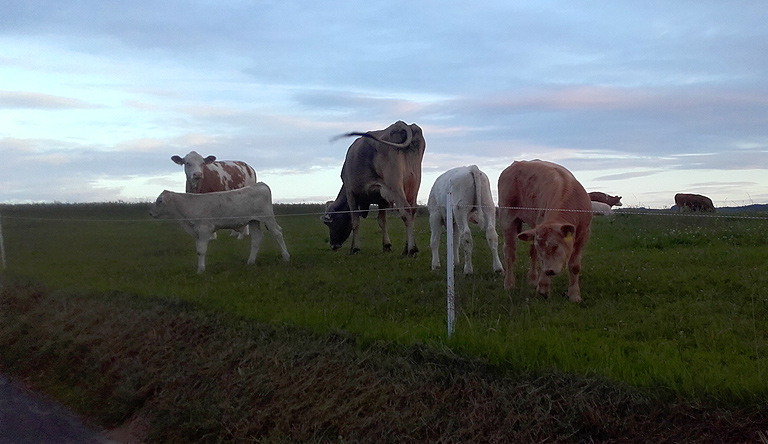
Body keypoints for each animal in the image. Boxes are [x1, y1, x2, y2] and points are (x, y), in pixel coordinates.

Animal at [150, 182, 292, 272]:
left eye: (159, 201)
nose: (151, 213)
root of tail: (259, 184)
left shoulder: (204, 229)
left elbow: (201, 251)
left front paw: (201, 270)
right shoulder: (197, 232)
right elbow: (198, 250)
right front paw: (200, 268)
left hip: (267, 217)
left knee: (277, 233)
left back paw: (286, 257)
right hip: (253, 220)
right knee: (257, 238)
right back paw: (250, 262)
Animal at [320, 119, 426, 255]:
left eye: (330, 223)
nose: (333, 245)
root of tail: (400, 124)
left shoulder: (351, 193)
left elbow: (355, 221)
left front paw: (355, 248)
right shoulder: (381, 198)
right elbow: (382, 221)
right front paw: (386, 245)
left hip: (394, 186)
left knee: (406, 211)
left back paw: (412, 249)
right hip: (412, 185)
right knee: (412, 210)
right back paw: (406, 249)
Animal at [498, 161, 592, 304]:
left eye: (556, 246)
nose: (549, 271)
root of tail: (515, 164)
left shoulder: (583, 234)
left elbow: (575, 266)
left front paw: (574, 295)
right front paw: (542, 289)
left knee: (531, 252)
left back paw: (532, 279)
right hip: (507, 218)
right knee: (509, 252)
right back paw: (509, 283)